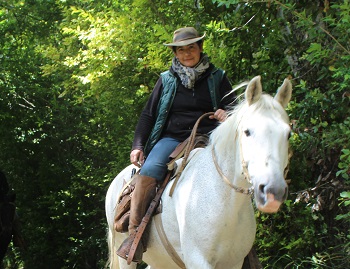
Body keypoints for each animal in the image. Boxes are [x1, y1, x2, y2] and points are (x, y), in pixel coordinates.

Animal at [106, 75, 292, 268]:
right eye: (247, 132)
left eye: (288, 134)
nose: (273, 191)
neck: (225, 201)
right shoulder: (197, 260)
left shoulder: (234, 262)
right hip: (125, 256)